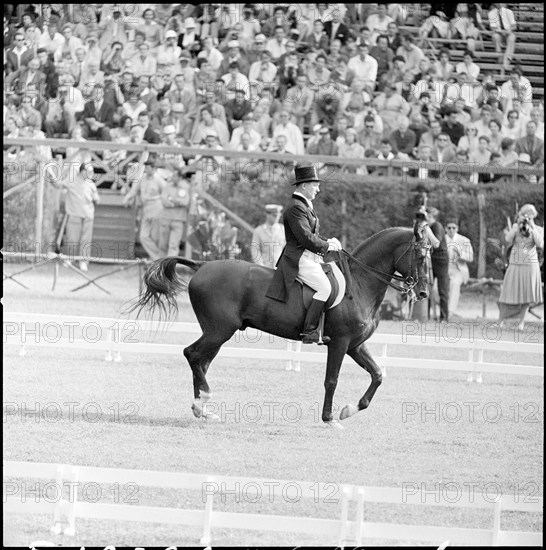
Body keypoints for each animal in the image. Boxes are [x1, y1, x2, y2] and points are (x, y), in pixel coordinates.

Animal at [131, 222, 430, 430]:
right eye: (420, 255)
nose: (423, 293)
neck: (359, 283)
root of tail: (202, 265)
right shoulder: (340, 342)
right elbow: (331, 380)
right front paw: (330, 418)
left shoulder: (355, 345)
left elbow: (378, 374)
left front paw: (349, 410)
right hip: (219, 331)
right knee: (192, 355)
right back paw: (202, 401)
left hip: (216, 332)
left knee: (200, 361)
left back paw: (202, 409)